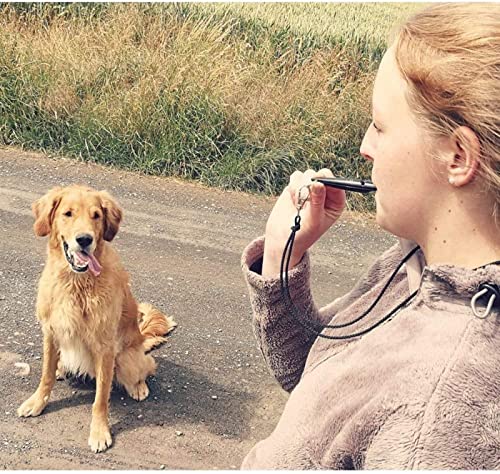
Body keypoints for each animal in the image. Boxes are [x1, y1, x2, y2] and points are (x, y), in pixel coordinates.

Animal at [16, 184, 177, 452]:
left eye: (96, 216)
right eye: (68, 213)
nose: (84, 240)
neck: (76, 282)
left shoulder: (105, 348)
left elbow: (101, 397)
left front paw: (100, 432)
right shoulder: (51, 332)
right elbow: (45, 375)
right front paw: (37, 402)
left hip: (127, 360)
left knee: (147, 367)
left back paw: (139, 387)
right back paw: (61, 368)